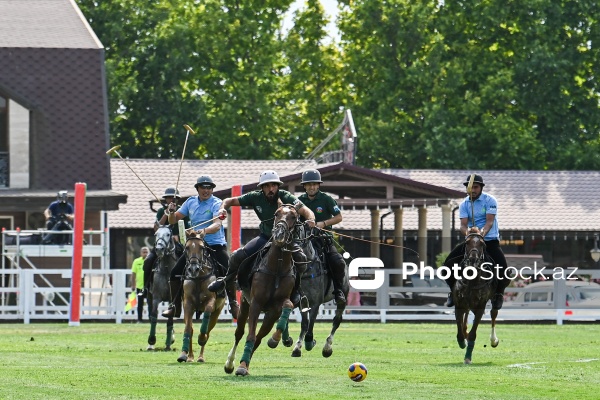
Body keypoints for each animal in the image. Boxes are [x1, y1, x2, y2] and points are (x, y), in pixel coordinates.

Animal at [179, 233, 226, 364]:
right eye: (187, 247)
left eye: (202, 247)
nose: (193, 269)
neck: (198, 277)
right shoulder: (187, 304)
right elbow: (188, 329)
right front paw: (183, 354)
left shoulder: (210, 302)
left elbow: (205, 323)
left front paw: (201, 339)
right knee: (191, 328)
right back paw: (190, 357)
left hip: (217, 313)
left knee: (208, 330)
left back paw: (200, 356)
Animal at [225, 205, 300, 376]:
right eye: (276, 214)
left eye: (293, 216)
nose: (279, 234)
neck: (277, 267)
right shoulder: (256, 303)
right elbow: (250, 336)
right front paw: (240, 367)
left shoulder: (275, 309)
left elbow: (287, 306)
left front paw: (274, 339)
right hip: (244, 304)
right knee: (239, 333)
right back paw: (230, 364)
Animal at [288, 227, 350, 358]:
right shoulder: (302, 302)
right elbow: (304, 324)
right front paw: (296, 347)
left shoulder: (315, 303)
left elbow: (310, 323)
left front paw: (309, 341)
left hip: (343, 297)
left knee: (336, 320)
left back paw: (327, 348)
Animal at [452, 231, 500, 366]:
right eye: (467, 242)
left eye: (482, 244)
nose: (473, 259)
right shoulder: (459, 304)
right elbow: (459, 331)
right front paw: (462, 341)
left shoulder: (480, 307)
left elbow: (473, 334)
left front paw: (468, 357)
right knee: (466, 315)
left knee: (494, 313)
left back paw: (493, 340)